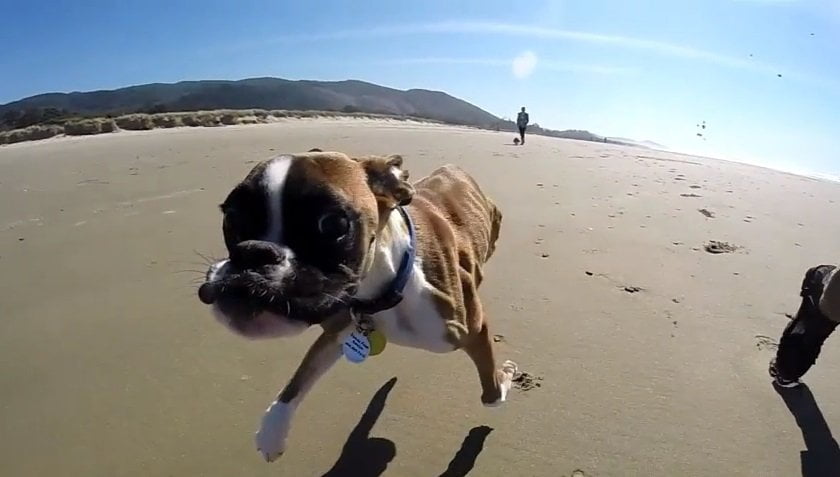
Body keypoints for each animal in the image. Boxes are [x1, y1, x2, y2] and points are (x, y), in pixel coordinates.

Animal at [197, 150, 516, 462]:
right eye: (231, 218)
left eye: (333, 224)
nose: (253, 252)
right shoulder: (339, 326)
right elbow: (300, 377)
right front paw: (272, 432)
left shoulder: (471, 329)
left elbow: (490, 394)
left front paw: (506, 377)